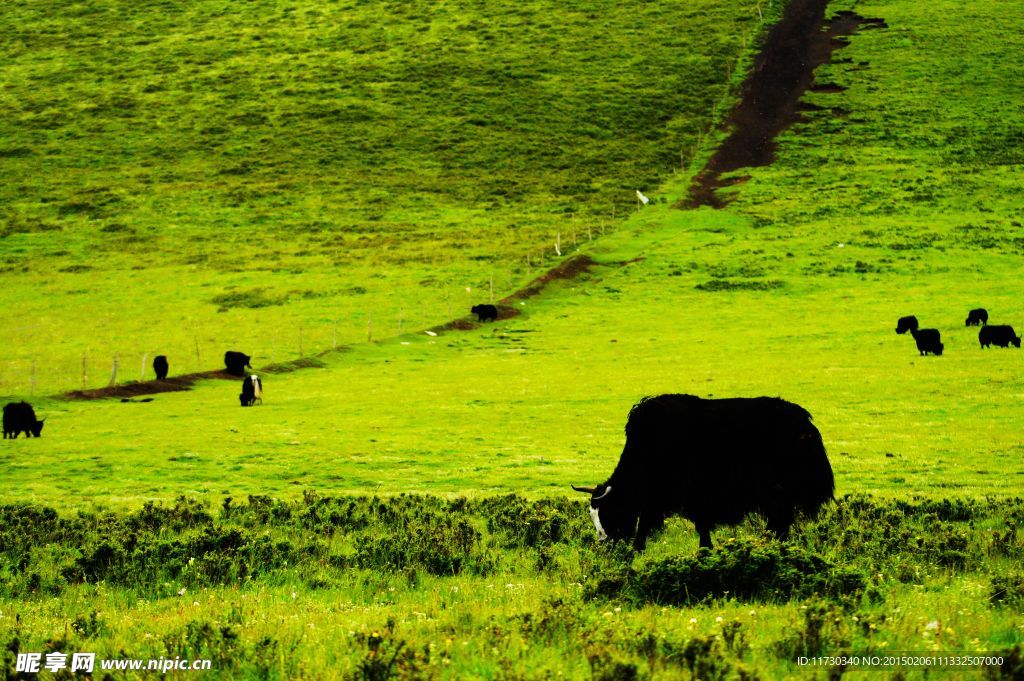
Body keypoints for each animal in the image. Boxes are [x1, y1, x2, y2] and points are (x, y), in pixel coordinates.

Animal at [573, 395, 835, 548]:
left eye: (608, 512)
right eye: (592, 516)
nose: (604, 544)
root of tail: (807, 425)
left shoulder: (693, 495)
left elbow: (698, 525)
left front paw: (705, 550)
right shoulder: (657, 500)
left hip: (780, 491)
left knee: (779, 522)